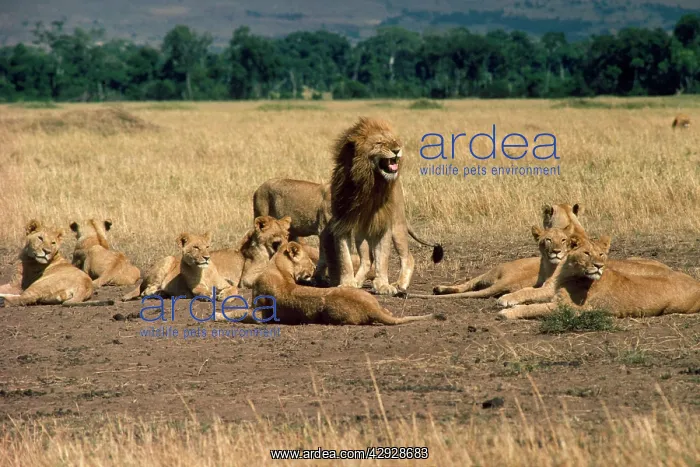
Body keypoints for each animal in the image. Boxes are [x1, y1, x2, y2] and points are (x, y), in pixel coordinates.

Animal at [242, 241, 437, 325]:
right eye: (310, 263)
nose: (314, 271)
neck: (278, 268)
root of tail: (370, 308)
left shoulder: (259, 313)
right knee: (386, 310)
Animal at [317, 117, 442, 296]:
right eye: (379, 143)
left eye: (395, 141)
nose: (397, 150)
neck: (370, 183)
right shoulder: (343, 222)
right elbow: (344, 257)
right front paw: (347, 284)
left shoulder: (384, 224)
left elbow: (382, 258)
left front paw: (383, 285)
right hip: (360, 233)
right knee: (367, 259)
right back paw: (358, 281)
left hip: (398, 226)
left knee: (407, 257)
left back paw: (401, 284)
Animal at [410, 226, 569, 299]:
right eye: (548, 240)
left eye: (563, 240)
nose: (556, 251)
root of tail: (507, 280)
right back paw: (440, 289)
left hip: (492, 271)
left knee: (468, 285)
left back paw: (439, 289)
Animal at [498, 235, 700, 320]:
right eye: (587, 253)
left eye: (602, 254)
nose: (599, 265)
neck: (567, 272)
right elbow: (529, 295)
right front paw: (508, 301)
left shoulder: (571, 308)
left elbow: (534, 308)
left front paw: (507, 312)